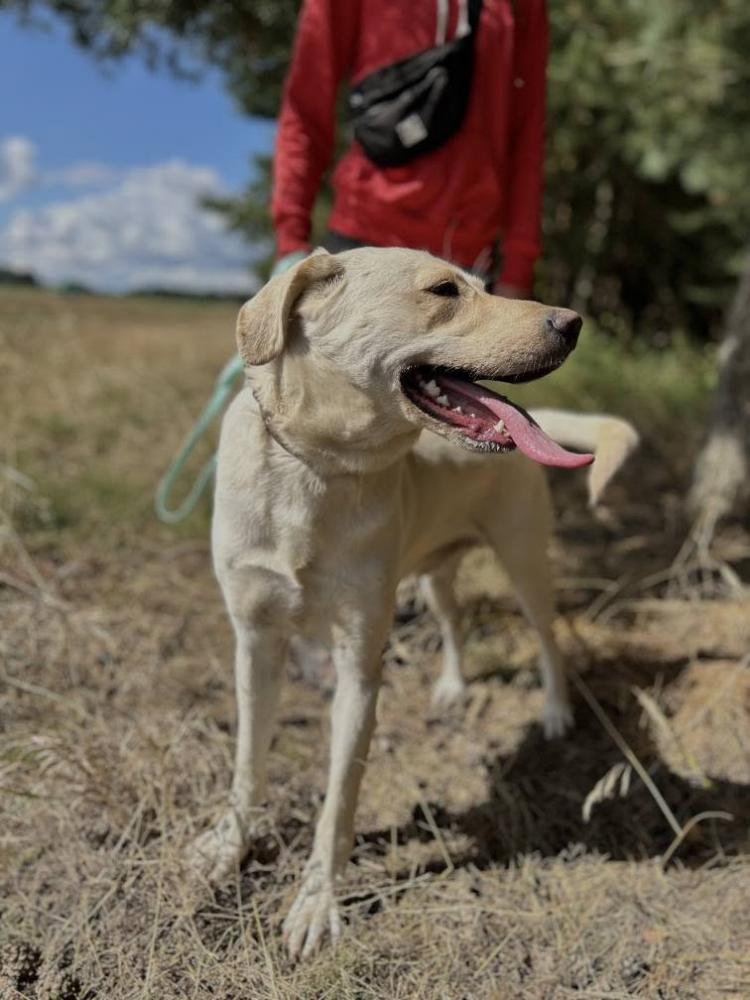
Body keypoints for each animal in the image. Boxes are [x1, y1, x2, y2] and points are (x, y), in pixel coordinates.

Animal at [190, 247, 638, 959]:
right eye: (444, 290)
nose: (572, 322)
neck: (316, 467)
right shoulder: (255, 643)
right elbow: (247, 764)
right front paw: (229, 846)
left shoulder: (359, 670)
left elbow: (338, 804)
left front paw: (317, 903)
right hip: (431, 577)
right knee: (454, 622)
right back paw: (453, 687)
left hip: (524, 563)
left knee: (548, 638)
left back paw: (556, 711)